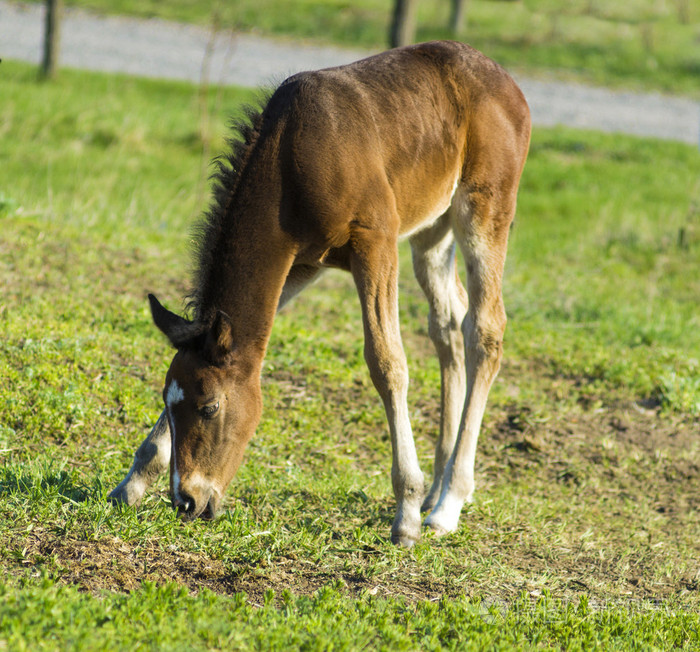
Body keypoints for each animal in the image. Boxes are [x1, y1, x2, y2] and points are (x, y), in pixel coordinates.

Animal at [109, 41, 531, 547]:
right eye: (170, 403)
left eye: (210, 407)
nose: (187, 501)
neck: (291, 158)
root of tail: (508, 82)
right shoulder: (301, 264)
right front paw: (132, 483)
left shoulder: (376, 242)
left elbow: (387, 363)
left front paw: (406, 513)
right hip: (432, 231)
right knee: (449, 325)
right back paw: (439, 487)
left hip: (485, 208)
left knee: (485, 330)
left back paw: (446, 505)